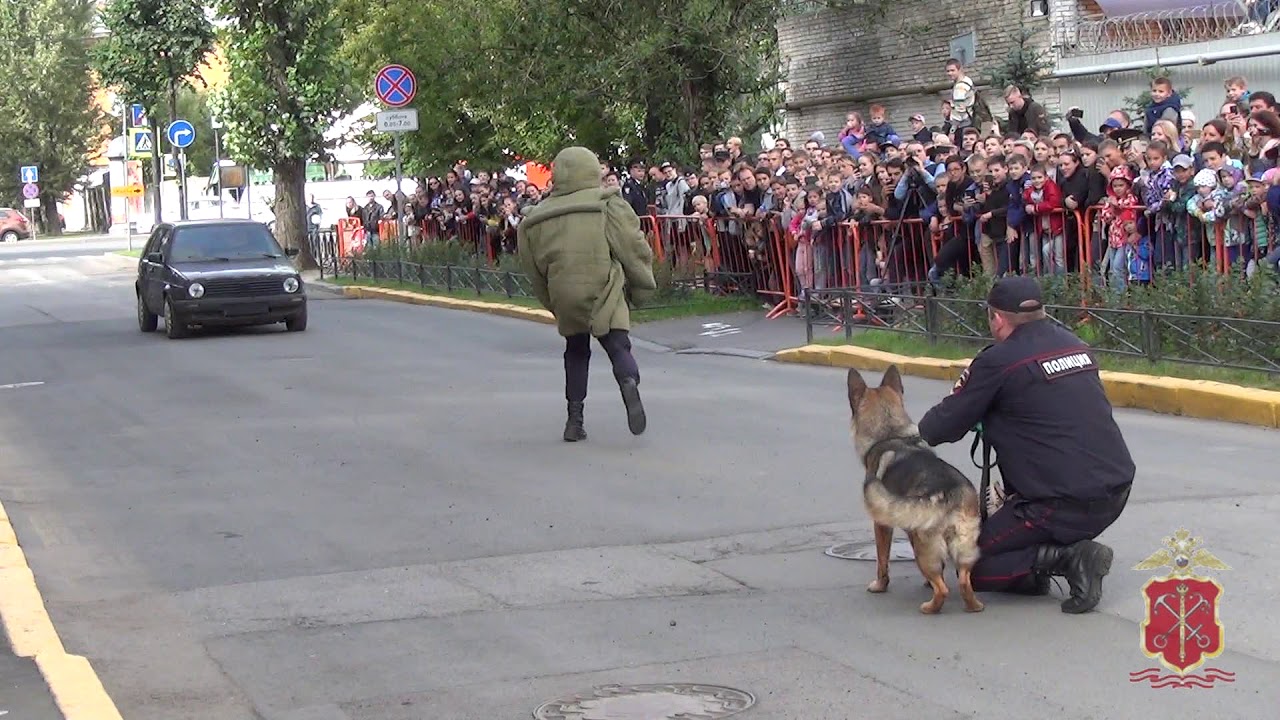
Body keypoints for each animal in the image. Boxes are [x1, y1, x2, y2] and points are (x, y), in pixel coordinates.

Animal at [844, 363, 983, 609]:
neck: (891, 433)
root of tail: (949, 492)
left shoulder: (882, 524)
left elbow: (882, 560)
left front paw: (880, 586)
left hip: (922, 546)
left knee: (943, 589)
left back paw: (929, 607)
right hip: (964, 546)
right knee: (964, 581)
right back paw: (974, 605)